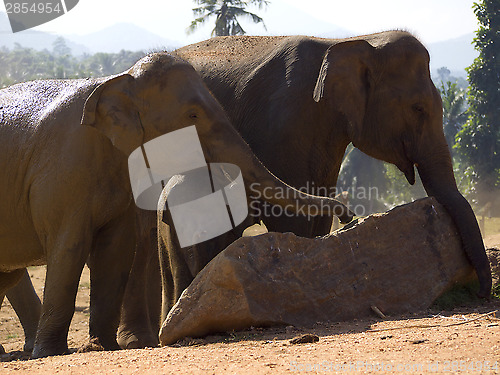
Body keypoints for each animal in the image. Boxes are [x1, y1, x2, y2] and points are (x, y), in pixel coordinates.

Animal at [0, 51, 352, 356]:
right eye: (192, 115)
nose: (347, 215)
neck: (117, 79)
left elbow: (117, 250)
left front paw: (101, 348)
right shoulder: (63, 173)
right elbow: (69, 247)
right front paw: (51, 353)